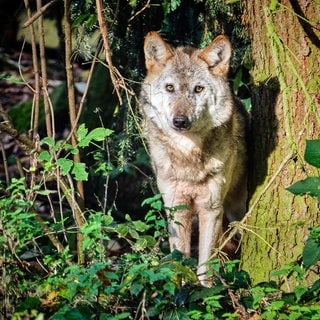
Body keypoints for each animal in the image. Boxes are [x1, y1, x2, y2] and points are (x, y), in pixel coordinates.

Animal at [139, 31, 248, 284]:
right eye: (170, 87)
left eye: (198, 89)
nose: (180, 121)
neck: (187, 156)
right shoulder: (175, 207)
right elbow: (179, 257)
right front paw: (180, 289)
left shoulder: (212, 208)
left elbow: (205, 264)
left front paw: (205, 290)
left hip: (236, 213)